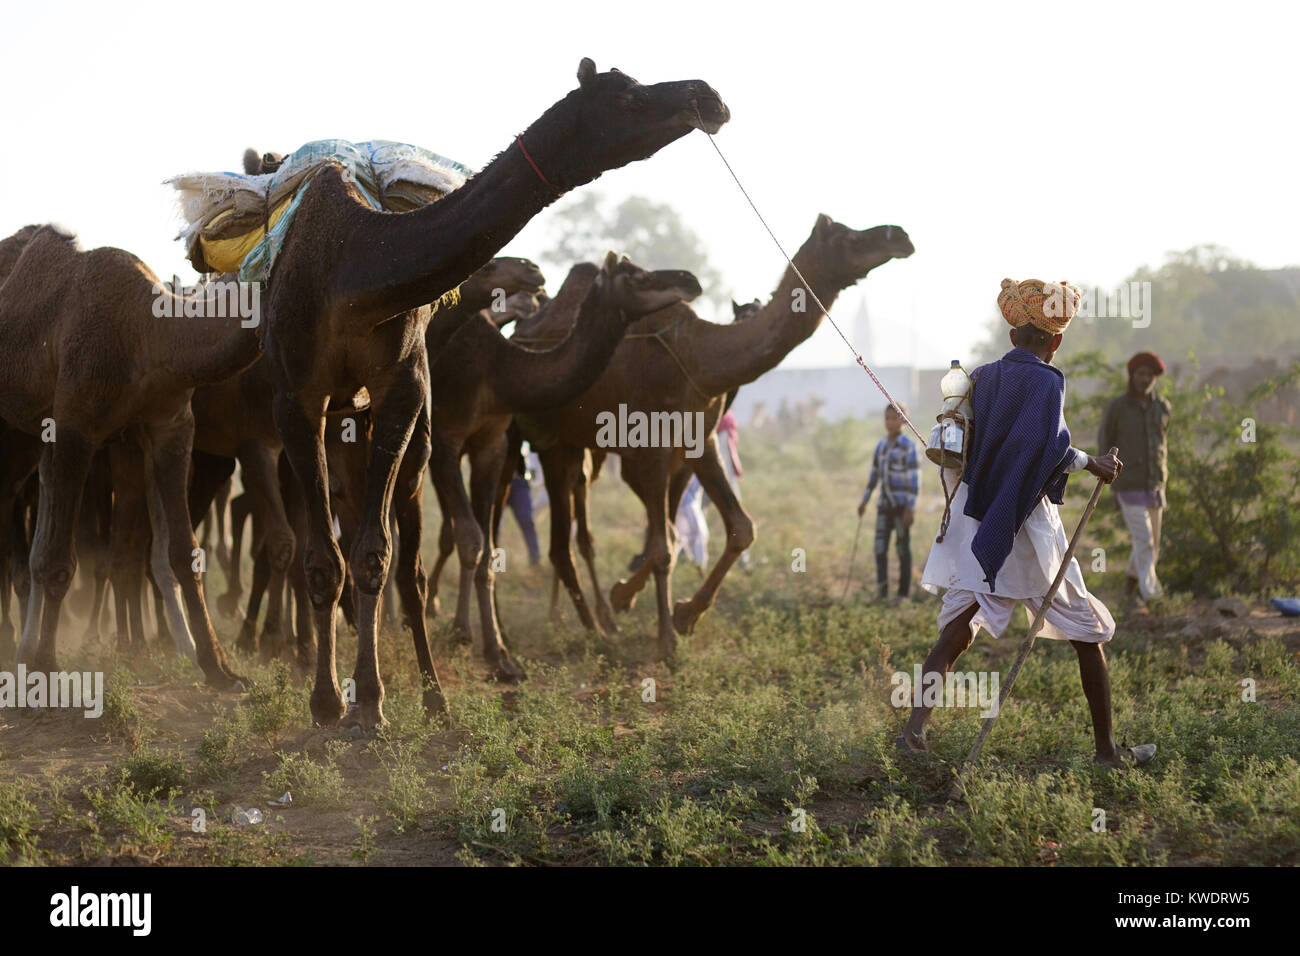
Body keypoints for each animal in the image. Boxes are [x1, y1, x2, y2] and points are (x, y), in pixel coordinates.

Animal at [0, 224, 260, 683]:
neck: (147, 330)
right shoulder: (75, 427)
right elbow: (61, 559)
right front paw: (47, 667)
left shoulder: (168, 424)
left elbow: (181, 551)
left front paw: (218, 667)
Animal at [426, 252, 702, 681]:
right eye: (636, 276)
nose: (689, 279)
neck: (495, 372)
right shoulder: (443, 439)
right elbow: (468, 536)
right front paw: (461, 633)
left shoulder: (491, 442)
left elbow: (483, 543)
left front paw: (499, 654)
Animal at [512, 216, 914, 657]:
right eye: (845, 235)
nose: (900, 235)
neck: (698, 357)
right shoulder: (648, 447)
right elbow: (663, 546)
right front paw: (666, 638)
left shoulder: (698, 441)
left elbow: (738, 527)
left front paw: (678, 612)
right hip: (548, 438)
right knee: (556, 531)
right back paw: (573, 620)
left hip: (578, 444)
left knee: (576, 515)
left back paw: (581, 614)